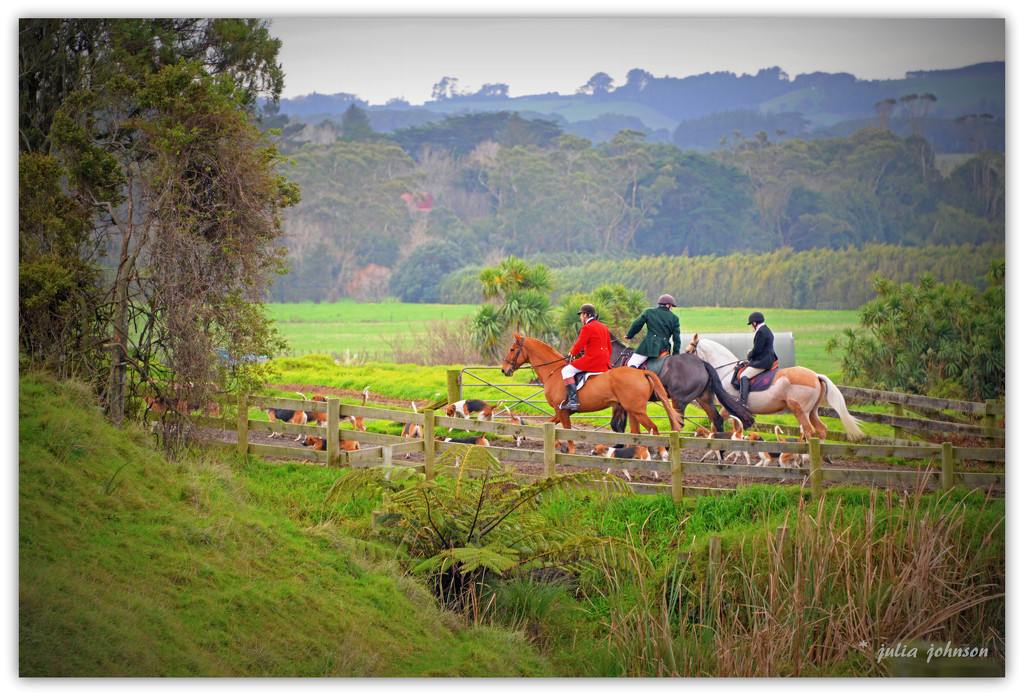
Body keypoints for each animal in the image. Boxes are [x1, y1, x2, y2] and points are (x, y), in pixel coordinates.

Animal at [499, 333, 684, 456]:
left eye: (512, 349)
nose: (504, 370)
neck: (554, 370)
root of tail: (641, 372)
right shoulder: (562, 411)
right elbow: (548, 425)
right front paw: (560, 446)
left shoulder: (562, 411)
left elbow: (567, 433)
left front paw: (569, 450)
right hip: (632, 410)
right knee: (635, 433)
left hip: (637, 410)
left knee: (654, 429)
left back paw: (661, 453)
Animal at [606, 337, 753, 433]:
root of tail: (701, 363)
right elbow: (622, 426)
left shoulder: (619, 402)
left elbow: (616, 425)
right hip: (704, 399)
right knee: (717, 420)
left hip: (679, 401)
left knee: (677, 424)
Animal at [688, 333, 864, 440]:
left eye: (689, 351)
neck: (726, 371)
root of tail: (815, 376)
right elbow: (735, 428)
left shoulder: (729, 406)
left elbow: (717, 424)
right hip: (812, 411)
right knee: (822, 429)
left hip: (800, 409)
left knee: (809, 431)